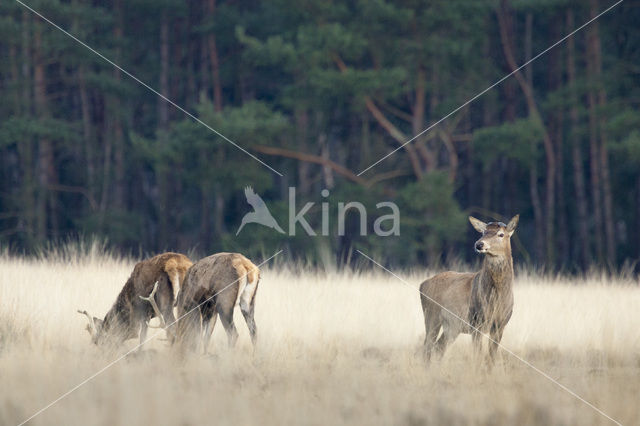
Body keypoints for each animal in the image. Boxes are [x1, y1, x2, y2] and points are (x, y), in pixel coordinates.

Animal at [420, 215, 520, 364]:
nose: (479, 244)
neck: (497, 299)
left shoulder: (500, 325)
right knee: (427, 347)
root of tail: (422, 285)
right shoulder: (476, 322)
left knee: (438, 347)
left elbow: (490, 358)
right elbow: (478, 355)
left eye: (501, 234)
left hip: (451, 326)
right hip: (432, 316)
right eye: (483, 232)